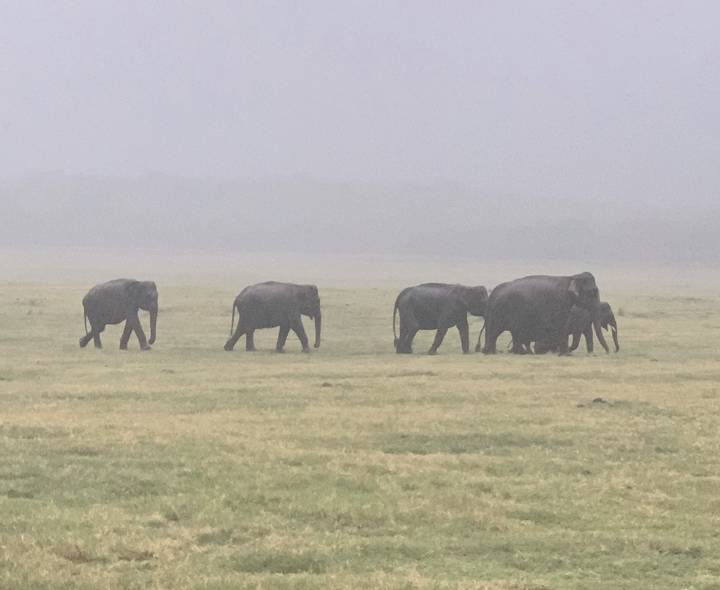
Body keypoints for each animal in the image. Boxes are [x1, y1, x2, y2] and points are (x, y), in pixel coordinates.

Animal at [479, 272, 609, 355]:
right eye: (593, 291)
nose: (608, 352)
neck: (571, 277)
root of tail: (492, 294)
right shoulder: (558, 302)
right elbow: (561, 325)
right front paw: (565, 354)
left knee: (509, 332)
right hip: (499, 312)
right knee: (495, 332)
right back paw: (491, 352)